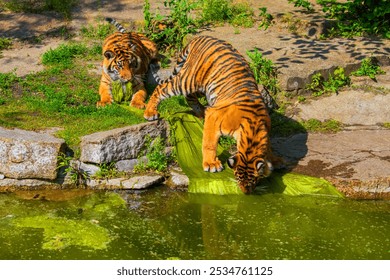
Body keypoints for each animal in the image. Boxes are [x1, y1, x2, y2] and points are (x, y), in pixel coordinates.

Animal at [143, 35, 284, 195]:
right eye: (238, 178)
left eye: (254, 181)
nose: (245, 192)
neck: (252, 132)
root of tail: (200, 37)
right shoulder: (214, 116)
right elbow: (209, 143)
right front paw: (211, 164)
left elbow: (269, 147)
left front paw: (275, 160)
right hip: (188, 80)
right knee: (162, 88)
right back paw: (150, 112)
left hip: (203, 87)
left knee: (190, 97)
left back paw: (200, 113)